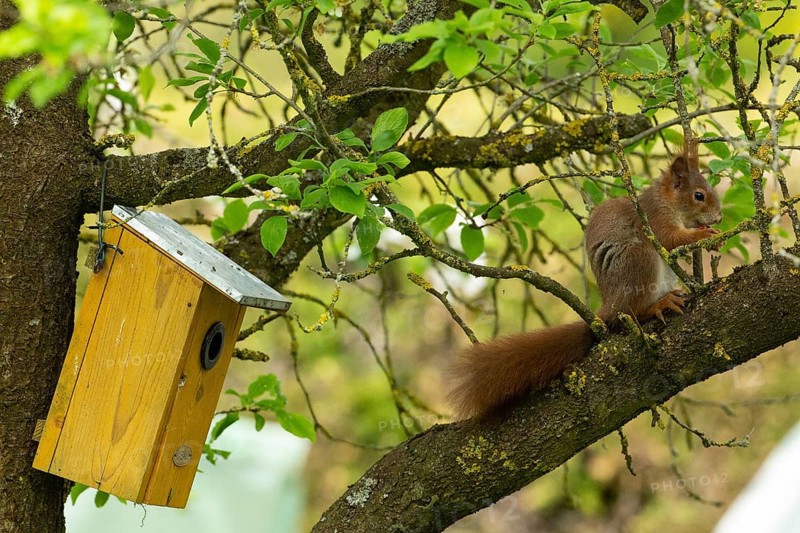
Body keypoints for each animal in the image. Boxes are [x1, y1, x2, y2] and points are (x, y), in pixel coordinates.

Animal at [447, 140, 723, 420]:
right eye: (699, 195)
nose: (719, 218)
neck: (667, 201)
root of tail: (608, 307)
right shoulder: (653, 219)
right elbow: (670, 239)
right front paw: (705, 235)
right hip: (637, 260)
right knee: (631, 312)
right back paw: (658, 305)